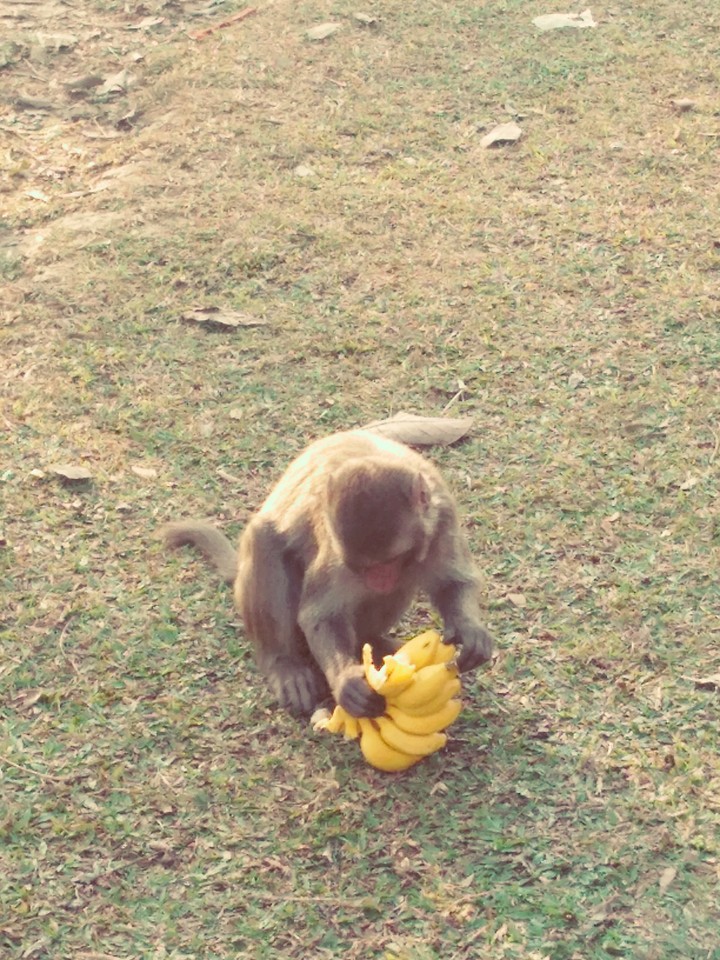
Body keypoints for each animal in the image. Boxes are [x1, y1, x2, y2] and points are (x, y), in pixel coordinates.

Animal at [161, 429, 493, 718]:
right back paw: (284, 663)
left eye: (393, 559)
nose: (378, 579)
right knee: (263, 540)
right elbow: (320, 614)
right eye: (363, 566)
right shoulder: (336, 549)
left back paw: (372, 641)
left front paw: (470, 630)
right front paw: (346, 680)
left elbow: (454, 581)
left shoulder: (443, 517)